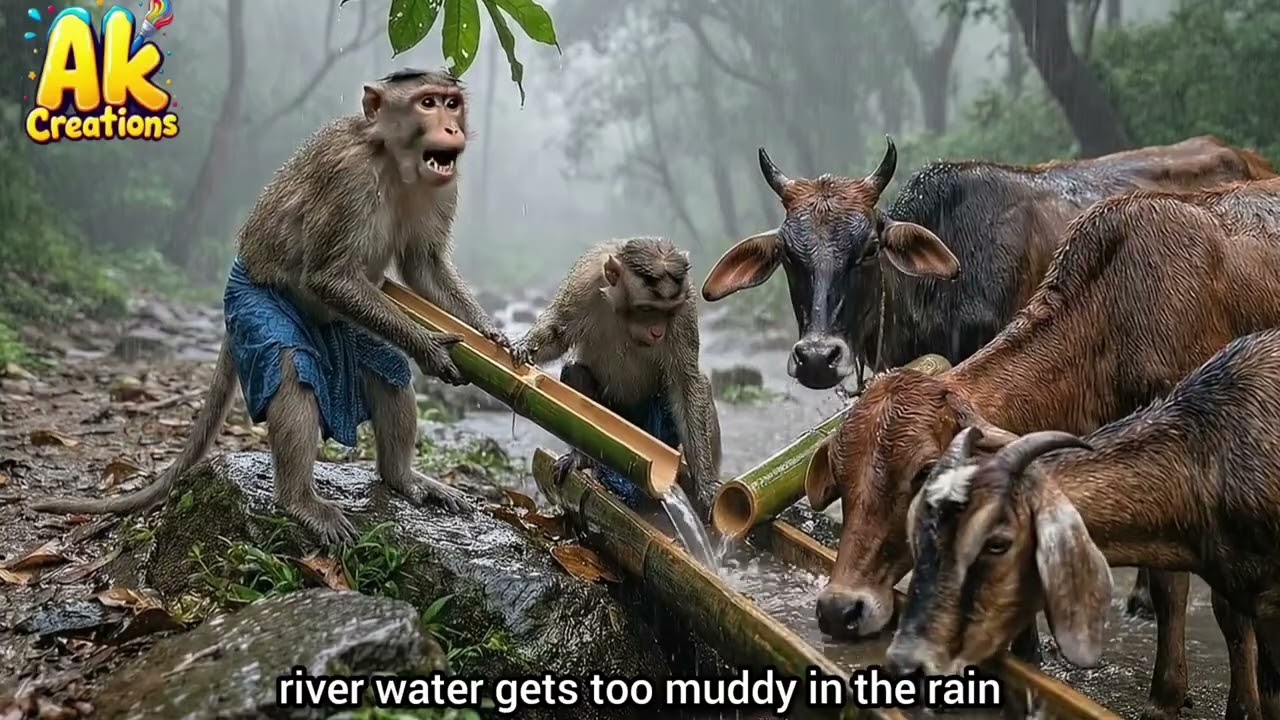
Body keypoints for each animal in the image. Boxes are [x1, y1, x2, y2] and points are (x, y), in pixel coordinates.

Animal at [30, 69, 512, 544]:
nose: (451, 128)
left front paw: (492, 337)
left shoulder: (443, 188)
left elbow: (422, 266)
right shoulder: (349, 176)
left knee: (387, 368)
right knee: (290, 369)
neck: (395, 162)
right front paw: (430, 348)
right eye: (427, 103)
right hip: (250, 307)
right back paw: (299, 499)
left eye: (451, 104)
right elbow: (330, 277)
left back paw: (400, 477)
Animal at [511, 238, 723, 518]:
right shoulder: (583, 282)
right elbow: (558, 332)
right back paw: (582, 459)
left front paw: (706, 485)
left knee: (691, 388)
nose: (657, 331)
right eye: (646, 308)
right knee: (576, 372)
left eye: (668, 311)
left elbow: (685, 382)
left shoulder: (685, 308)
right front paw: (524, 346)